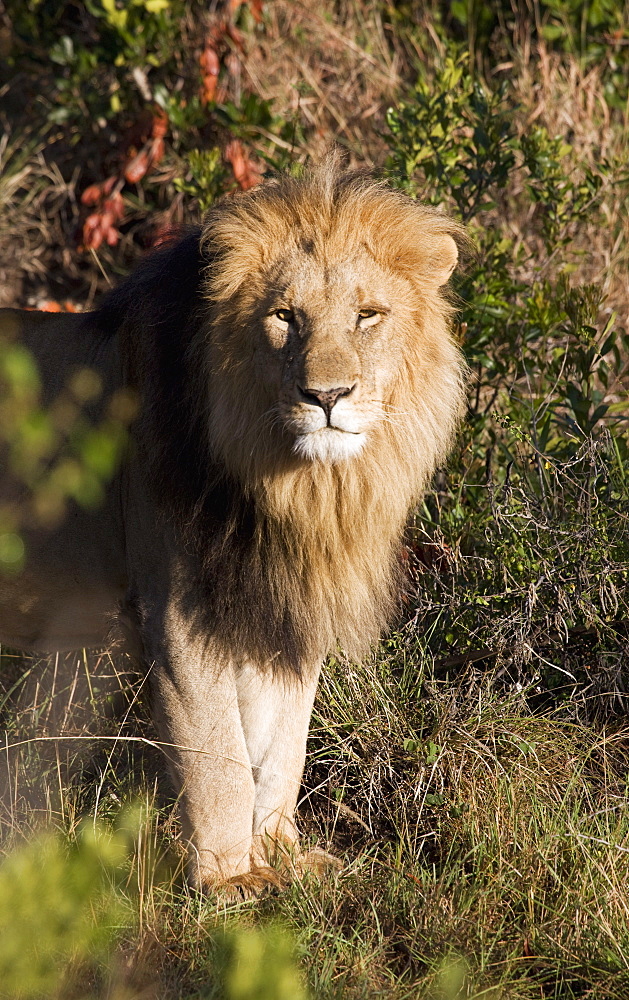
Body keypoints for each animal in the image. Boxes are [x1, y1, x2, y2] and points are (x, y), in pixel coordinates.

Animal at [0, 160, 466, 896]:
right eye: (284, 317)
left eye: (367, 315)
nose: (326, 396)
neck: (298, 491)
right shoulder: (179, 610)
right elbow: (217, 754)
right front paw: (228, 880)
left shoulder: (278, 602)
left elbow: (281, 745)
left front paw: (280, 854)